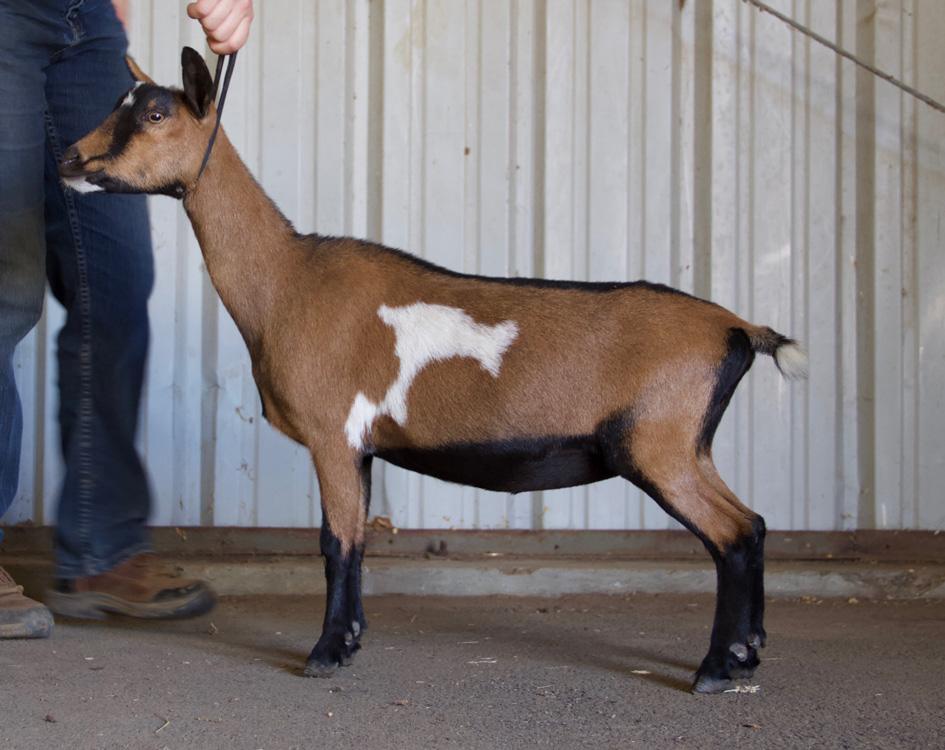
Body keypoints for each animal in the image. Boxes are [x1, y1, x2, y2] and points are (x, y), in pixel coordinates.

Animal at [62, 45, 808, 692]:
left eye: (156, 113)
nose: (68, 156)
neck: (287, 281)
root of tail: (738, 329)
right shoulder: (360, 446)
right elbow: (357, 539)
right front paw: (350, 641)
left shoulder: (332, 434)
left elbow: (336, 544)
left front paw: (324, 654)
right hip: (689, 445)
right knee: (754, 523)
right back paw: (747, 653)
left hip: (657, 443)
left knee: (732, 534)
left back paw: (717, 668)